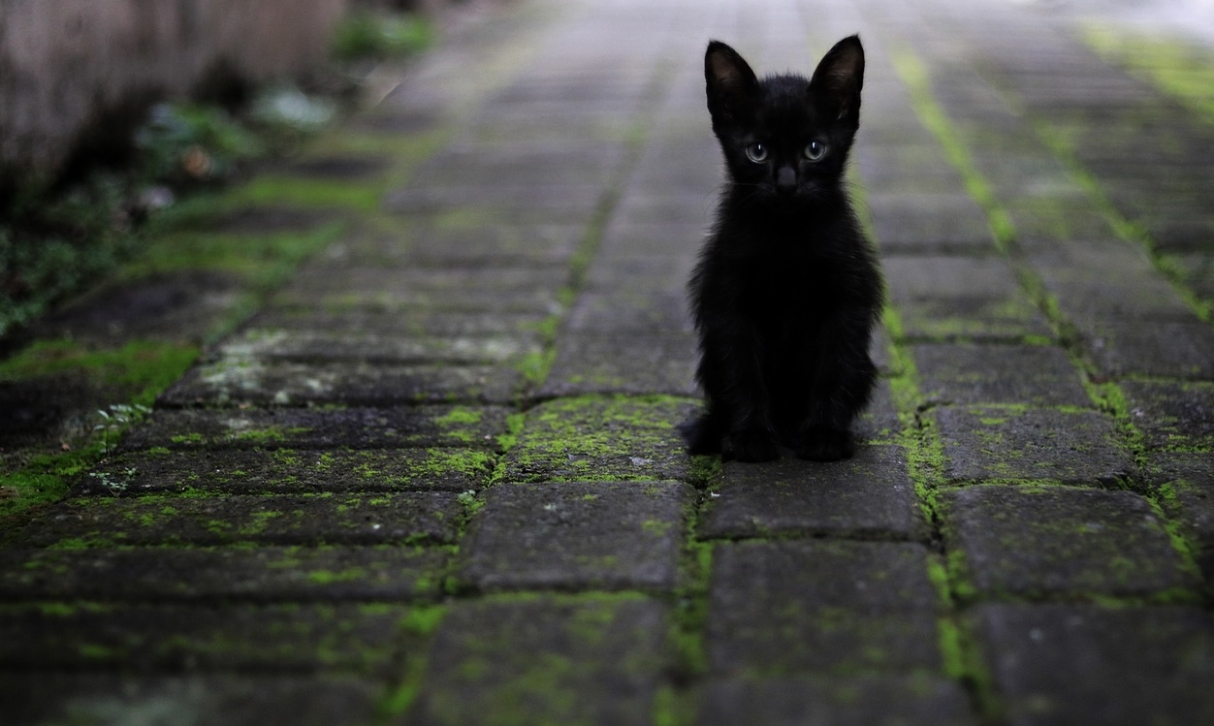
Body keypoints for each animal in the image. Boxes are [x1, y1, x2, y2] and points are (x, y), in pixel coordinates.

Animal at [694, 35, 883, 461]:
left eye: (814, 149)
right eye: (757, 151)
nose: (785, 184)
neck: (787, 237)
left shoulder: (847, 300)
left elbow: (834, 366)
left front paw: (825, 434)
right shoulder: (729, 302)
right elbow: (742, 370)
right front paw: (750, 436)